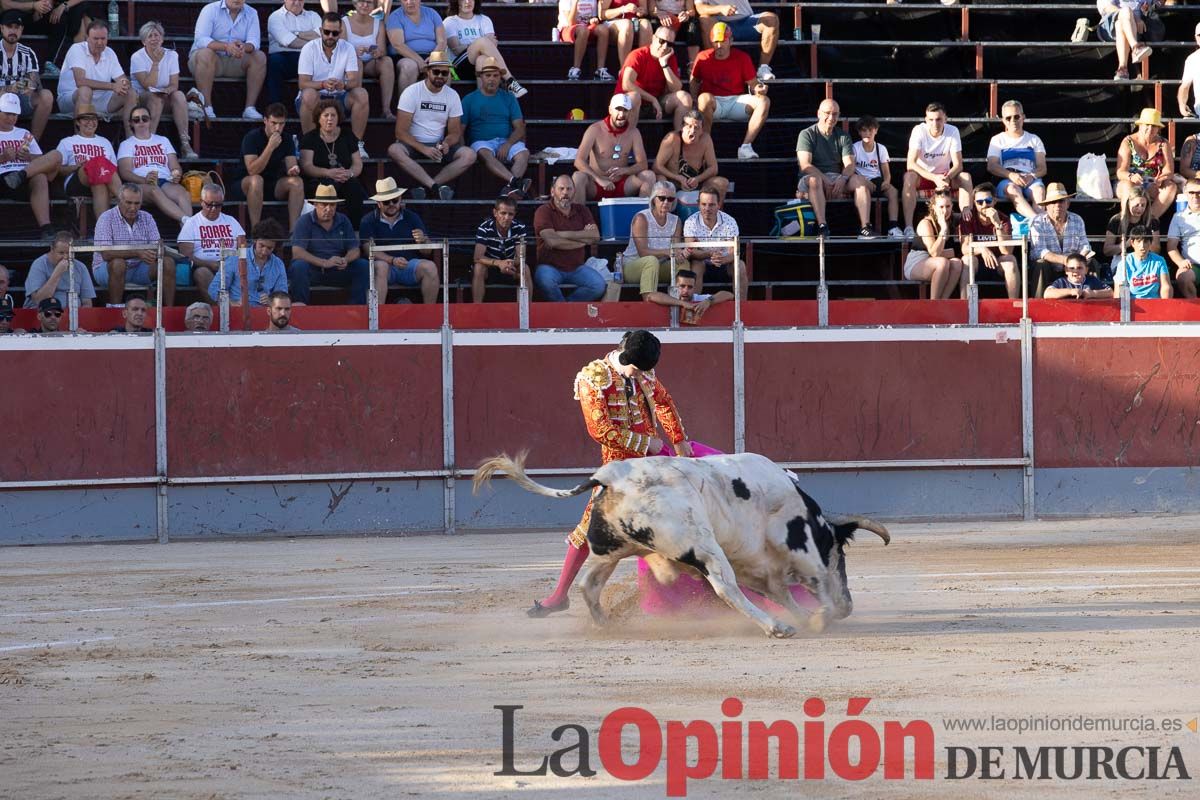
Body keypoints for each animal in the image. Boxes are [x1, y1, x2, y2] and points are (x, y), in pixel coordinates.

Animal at [470, 450, 892, 638]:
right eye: (841, 556)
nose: (849, 601)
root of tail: (609, 477)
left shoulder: (759, 568)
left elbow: (781, 592)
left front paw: (806, 616)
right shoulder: (800, 550)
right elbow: (813, 585)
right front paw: (820, 617)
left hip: (616, 546)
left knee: (590, 583)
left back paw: (606, 624)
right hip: (702, 545)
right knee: (724, 588)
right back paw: (776, 628)